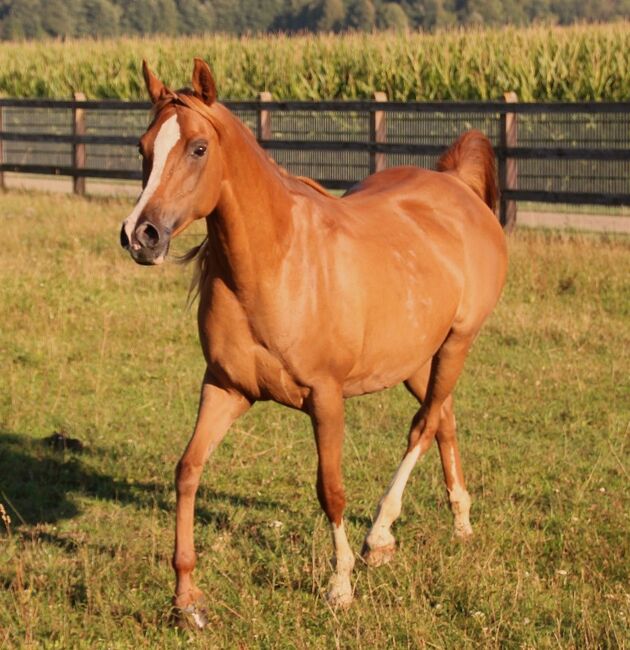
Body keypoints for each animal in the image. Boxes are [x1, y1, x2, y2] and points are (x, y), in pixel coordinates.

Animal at [119, 60, 508, 624]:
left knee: (423, 425)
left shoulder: (325, 398)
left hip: (458, 342)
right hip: (416, 358)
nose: (140, 235)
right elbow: (188, 470)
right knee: (444, 419)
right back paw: (459, 522)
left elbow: (331, 490)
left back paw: (380, 537)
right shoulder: (225, 388)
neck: (275, 264)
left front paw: (340, 586)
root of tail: (458, 186)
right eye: (143, 146)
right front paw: (187, 598)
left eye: (198, 148)